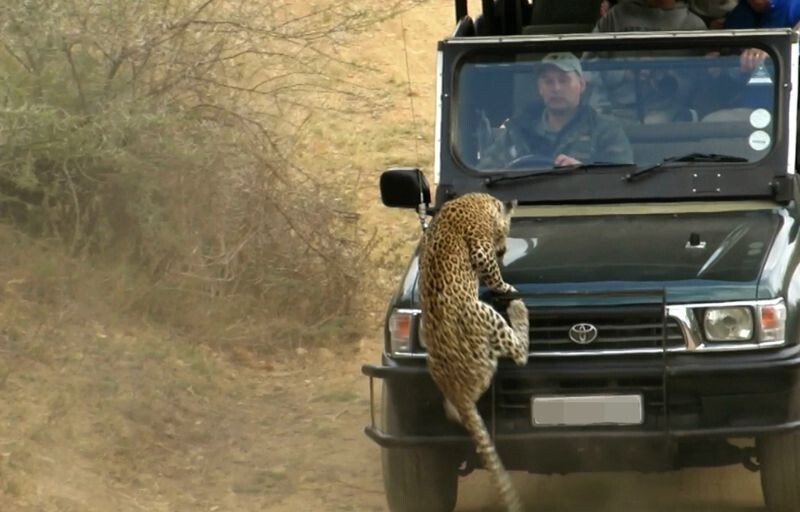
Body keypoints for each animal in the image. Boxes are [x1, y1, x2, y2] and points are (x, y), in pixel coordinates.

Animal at [418, 192, 532, 512]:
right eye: (505, 232)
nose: (504, 249)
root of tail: (455, 388)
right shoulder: (481, 249)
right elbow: (494, 276)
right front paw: (506, 284)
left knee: (452, 410)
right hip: (482, 313)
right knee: (519, 353)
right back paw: (518, 308)